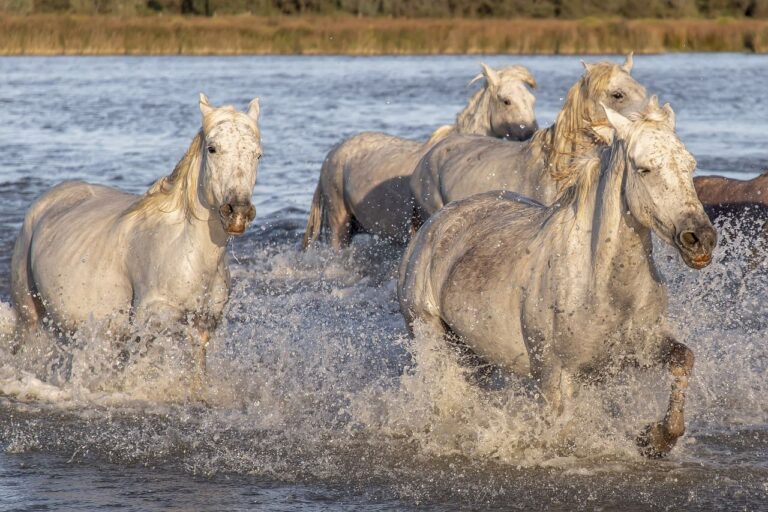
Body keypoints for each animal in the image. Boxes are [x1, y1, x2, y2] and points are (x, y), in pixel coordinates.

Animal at [8, 93, 264, 388]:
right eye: (212, 149)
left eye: (258, 154)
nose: (238, 212)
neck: (188, 253)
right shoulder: (150, 320)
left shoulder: (202, 325)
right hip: (29, 315)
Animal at [400, 98, 716, 458]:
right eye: (644, 168)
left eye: (690, 165)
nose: (700, 239)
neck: (600, 286)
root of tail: (436, 223)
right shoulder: (553, 372)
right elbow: (562, 429)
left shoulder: (640, 349)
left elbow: (682, 360)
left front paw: (654, 438)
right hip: (431, 335)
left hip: (474, 354)